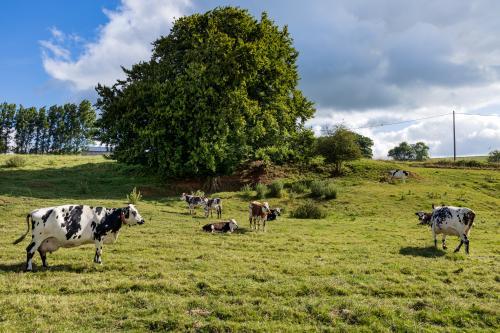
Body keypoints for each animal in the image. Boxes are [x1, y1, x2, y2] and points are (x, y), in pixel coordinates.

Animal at [13, 202, 146, 270]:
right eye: (133, 212)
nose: (142, 220)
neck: (108, 216)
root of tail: (34, 211)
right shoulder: (99, 236)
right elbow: (99, 251)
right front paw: (99, 263)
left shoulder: (98, 238)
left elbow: (96, 251)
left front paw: (95, 262)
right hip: (37, 237)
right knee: (30, 250)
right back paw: (29, 268)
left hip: (45, 240)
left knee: (42, 251)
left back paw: (46, 265)